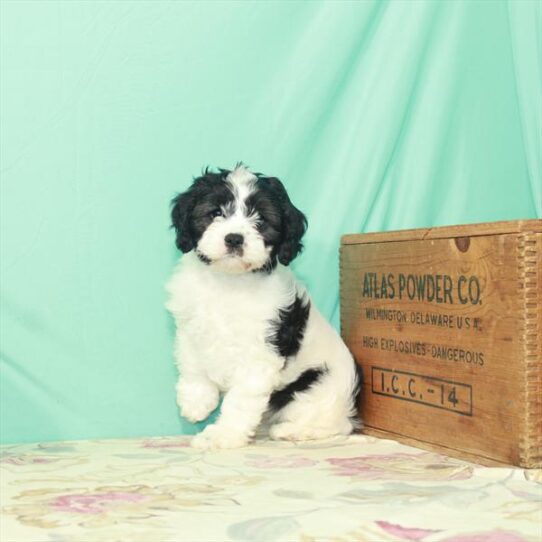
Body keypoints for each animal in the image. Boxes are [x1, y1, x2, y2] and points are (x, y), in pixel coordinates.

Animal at [165, 166, 362, 450]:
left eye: (260, 220)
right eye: (216, 213)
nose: (234, 238)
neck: (229, 282)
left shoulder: (260, 353)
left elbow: (240, 401)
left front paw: (223, 435)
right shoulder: (190, 326)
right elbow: (191, 362)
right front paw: (196, 402)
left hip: (314, 388)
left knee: (334, 425)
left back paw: (291, 431)